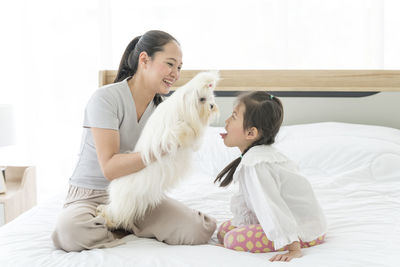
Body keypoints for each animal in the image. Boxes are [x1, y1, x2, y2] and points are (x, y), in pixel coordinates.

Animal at [97, 71, 220, 232]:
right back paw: (108, 218)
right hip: (125, 201)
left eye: (211, 97)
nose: (212, 106)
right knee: (115, 211)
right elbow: (183, 130)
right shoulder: (171, 131)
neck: (183, 108)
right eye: (202, 99)